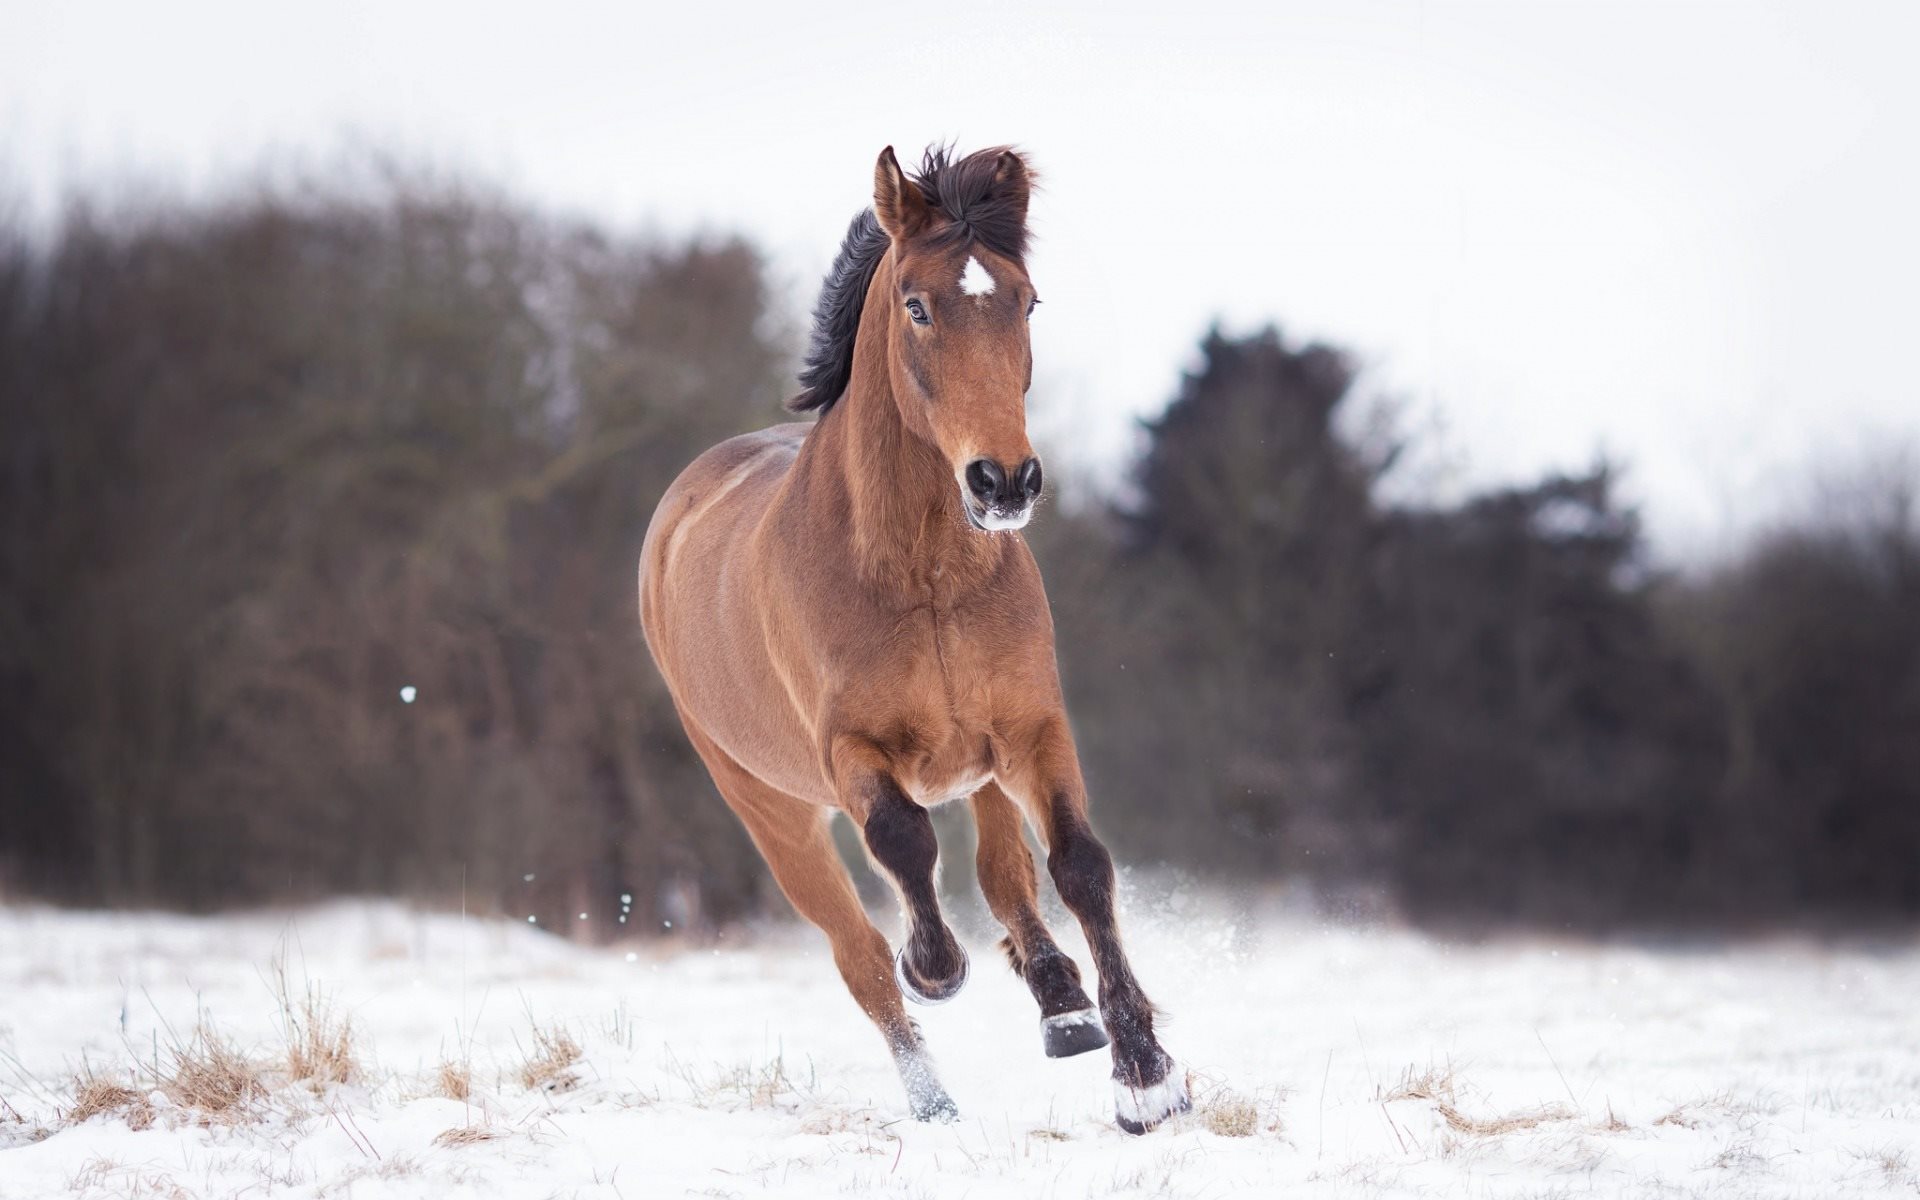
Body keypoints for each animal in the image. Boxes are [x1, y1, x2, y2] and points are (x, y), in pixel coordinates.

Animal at [637, 143, 1190, 1128]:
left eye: (1027, 300)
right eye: (917, 305)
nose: (1003, 481)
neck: (924, 574)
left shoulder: (1029, 729)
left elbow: (1078, 866)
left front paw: (1144, 1073)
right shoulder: (851, 753)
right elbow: (904, 846)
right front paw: (936, 966)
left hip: (979, 764)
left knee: (1006, 876)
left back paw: (1062, 1005)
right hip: (771, 809)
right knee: (858, 955)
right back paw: (934, 1100)